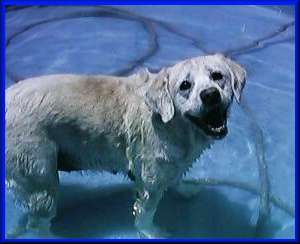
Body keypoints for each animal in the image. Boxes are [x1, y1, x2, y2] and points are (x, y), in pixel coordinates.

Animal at [5, 53, 246, 238]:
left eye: (217, 76)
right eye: (185, 86)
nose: (210, 95)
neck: (171, 121)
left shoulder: (171, 163)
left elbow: (176, 176)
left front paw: (185, 188)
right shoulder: (150, 180)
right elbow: (145, 213)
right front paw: (152, 232)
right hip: (40, 180)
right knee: (37, 223)